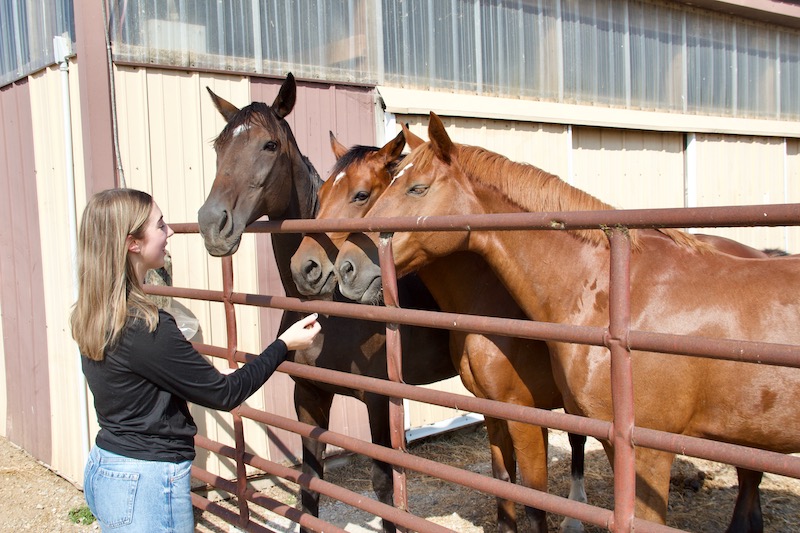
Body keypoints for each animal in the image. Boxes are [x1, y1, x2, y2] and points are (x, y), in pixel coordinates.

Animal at [197, 76, 457, 533]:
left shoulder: (380, 402)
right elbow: (310, 482)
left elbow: (385, 489)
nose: (213, 223)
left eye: (269, 145)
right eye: (218, 146)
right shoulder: (309, 396)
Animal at [333, 112, 800, 533]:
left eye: (416, 188)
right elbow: (506, 486)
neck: (612, 292)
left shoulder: (628, 446)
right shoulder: (507, 415)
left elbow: (535, 496)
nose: (345, 268)